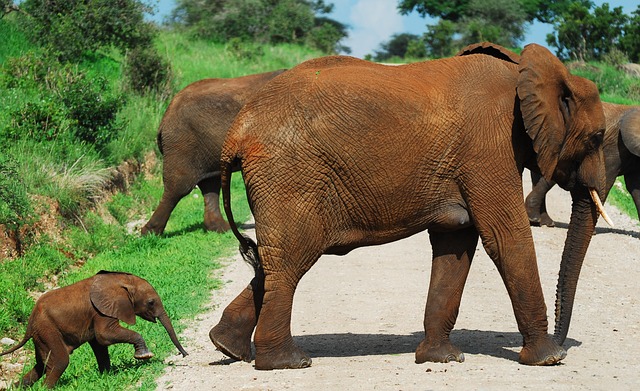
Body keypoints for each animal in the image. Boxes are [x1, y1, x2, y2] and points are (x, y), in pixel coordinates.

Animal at [0, 272, 188, 388]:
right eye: (150, 302)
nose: (185, 355)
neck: (121, 281)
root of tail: (30, 322)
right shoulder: (101, 310)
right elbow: (104, 336)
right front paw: (144, 356)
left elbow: (99, 344)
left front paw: (107, 376)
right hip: (47, 330)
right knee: (60, 361)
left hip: (42, 334)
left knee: (41, 365)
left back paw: (15, 388)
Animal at [144, 69, 288, 236]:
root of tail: (165, 117)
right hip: (183, 143)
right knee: (178, 187)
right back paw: (150, 233)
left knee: (210, 184)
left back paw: (221, 228)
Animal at [211, 43, 608, 370]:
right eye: (597, 138)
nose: (564, 341)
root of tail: (238, 129)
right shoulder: (490, 145)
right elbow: (505, 237)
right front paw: (549, 359)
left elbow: (455, 243)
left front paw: (441, 358)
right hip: (291, 175)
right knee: (292, 258)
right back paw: (287, 363)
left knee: (276, 261)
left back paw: (227, 346)